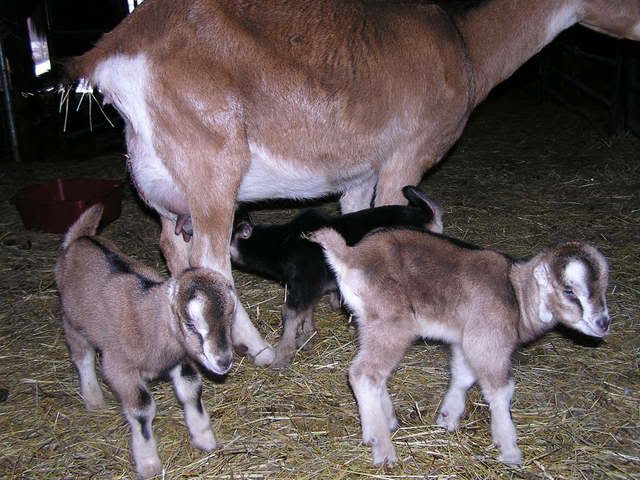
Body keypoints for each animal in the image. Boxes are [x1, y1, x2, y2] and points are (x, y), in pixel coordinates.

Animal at [55, 205, 235, 479]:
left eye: (230, 319)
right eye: (191, 325)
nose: (224, 362)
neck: (151, 321)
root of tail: (81, 238)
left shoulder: (179, 359)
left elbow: (191, 391)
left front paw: (204, 438)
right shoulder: (120, 367)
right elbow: (142, 409)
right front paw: (148, 463)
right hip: (72, 321)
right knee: (82, 356)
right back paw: (94, 399)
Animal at [231, 186, 443, 368]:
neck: (281, 244)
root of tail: (428, 219)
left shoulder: (304, 283)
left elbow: (290, 314)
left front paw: (281, 357)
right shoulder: (311, 287)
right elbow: (307, 312)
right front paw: (305, 339)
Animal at [311, 227, 610, 466]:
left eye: (604, 288)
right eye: (569, 290)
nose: (603, 323)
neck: (516, 295)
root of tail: (351, 256)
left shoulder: (465, 339)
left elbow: (463, 375)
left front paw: (448, 418)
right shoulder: (488, 340)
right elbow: (500, 391)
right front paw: (510, 451)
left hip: (369, 322)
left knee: (374, 373)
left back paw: (383, 423)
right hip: (391, 322)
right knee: (364, 374)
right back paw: (383, 450)